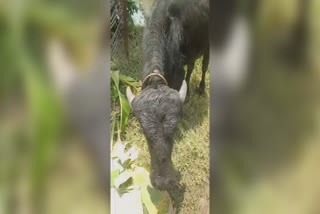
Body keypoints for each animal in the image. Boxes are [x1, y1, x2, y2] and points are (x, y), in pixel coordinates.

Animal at [126, 0, 209, 191]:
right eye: (144, 131)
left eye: (174, 128)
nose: (164, 182)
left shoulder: (177, 73)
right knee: (192, 66)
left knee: (204, 66)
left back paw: (201, 88)